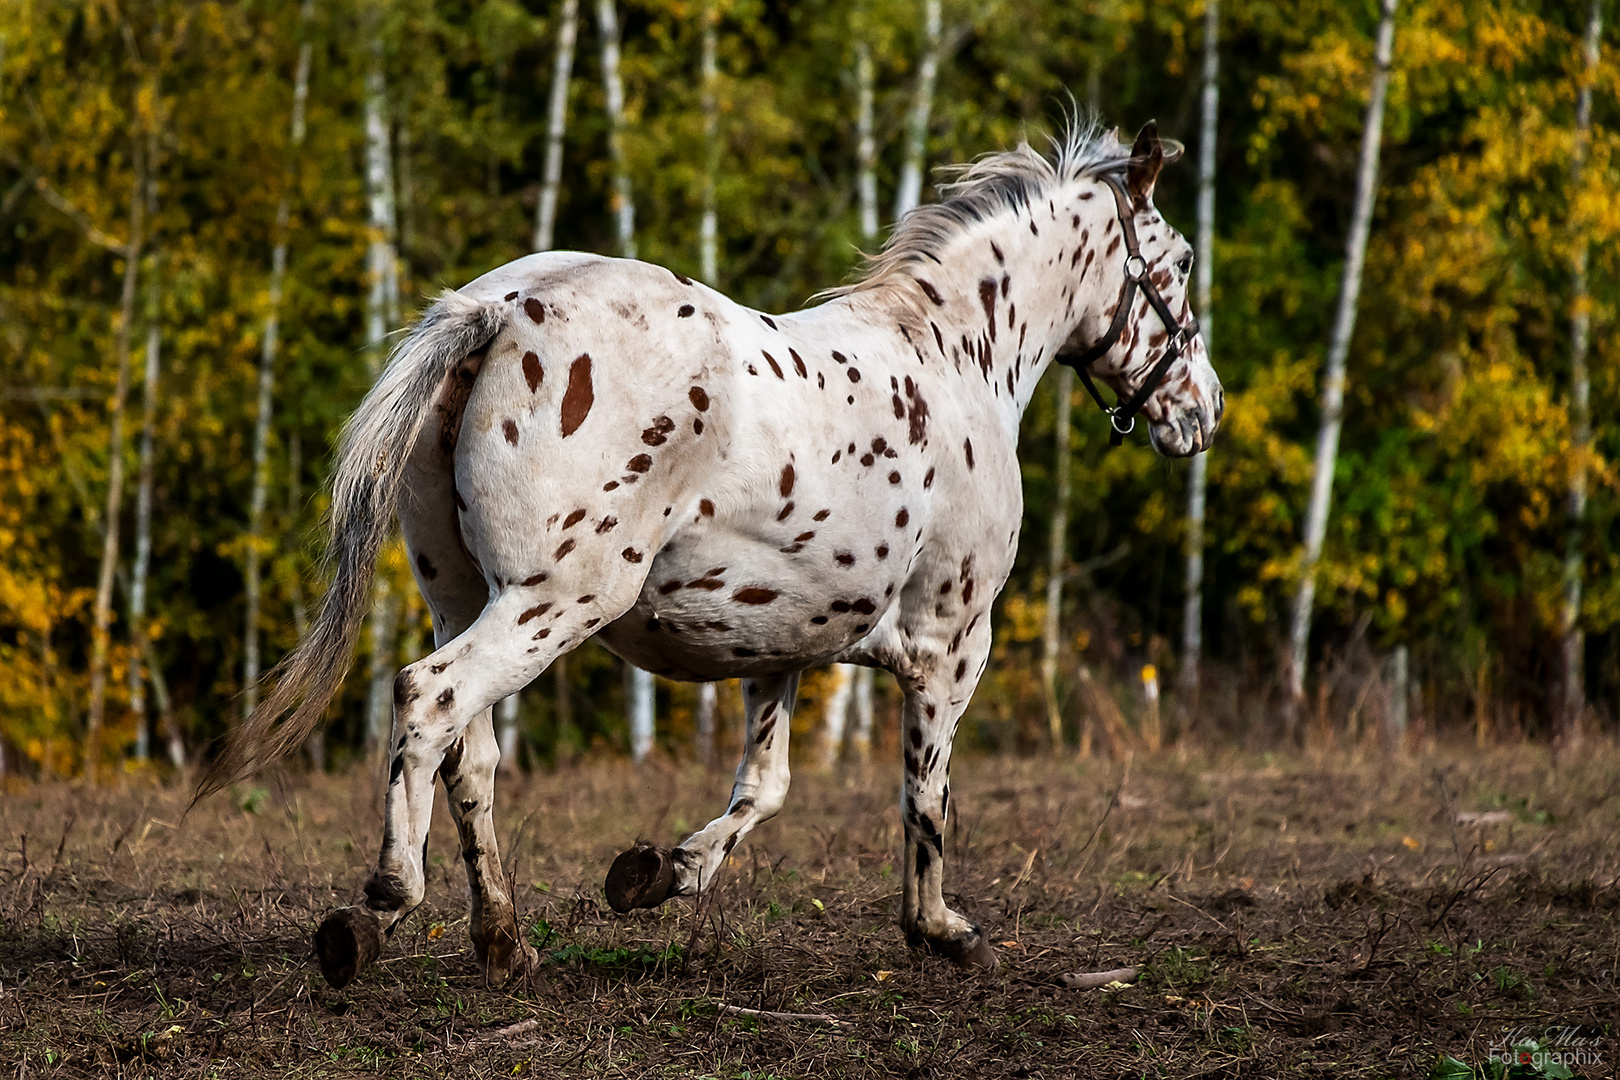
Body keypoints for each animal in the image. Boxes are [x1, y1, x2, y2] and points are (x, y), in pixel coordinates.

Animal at [199, 120, 1218, 990]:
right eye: (1177, 263)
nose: (1201, 411)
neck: (955, 362)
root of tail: (497, 308)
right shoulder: (952, 641)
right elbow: (925, 797)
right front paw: (942, 932)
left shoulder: (783, 647)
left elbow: (764, 788)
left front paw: (655, 873)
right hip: (555, 599)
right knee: (429, 699)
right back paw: (379, 908)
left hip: (463, 596)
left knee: (470, 756)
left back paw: (503, 944)